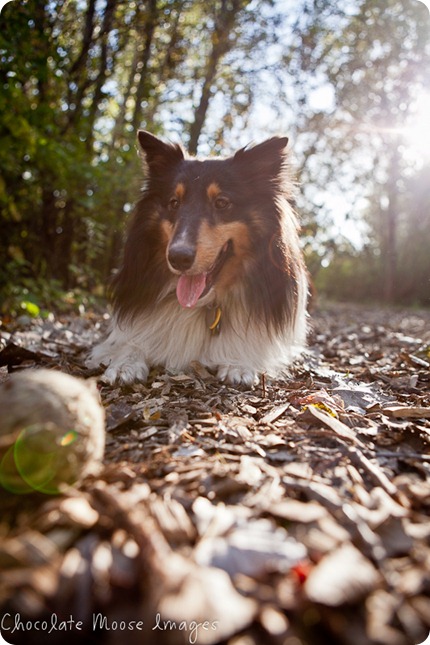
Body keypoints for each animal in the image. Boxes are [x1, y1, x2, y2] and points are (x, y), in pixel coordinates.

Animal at [89, 128, 308, 384]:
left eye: (222, 202)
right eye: (174, 202)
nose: (178, 258)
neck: (206, 304)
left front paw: (238, 364)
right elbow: (130, 343)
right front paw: (126, 363)